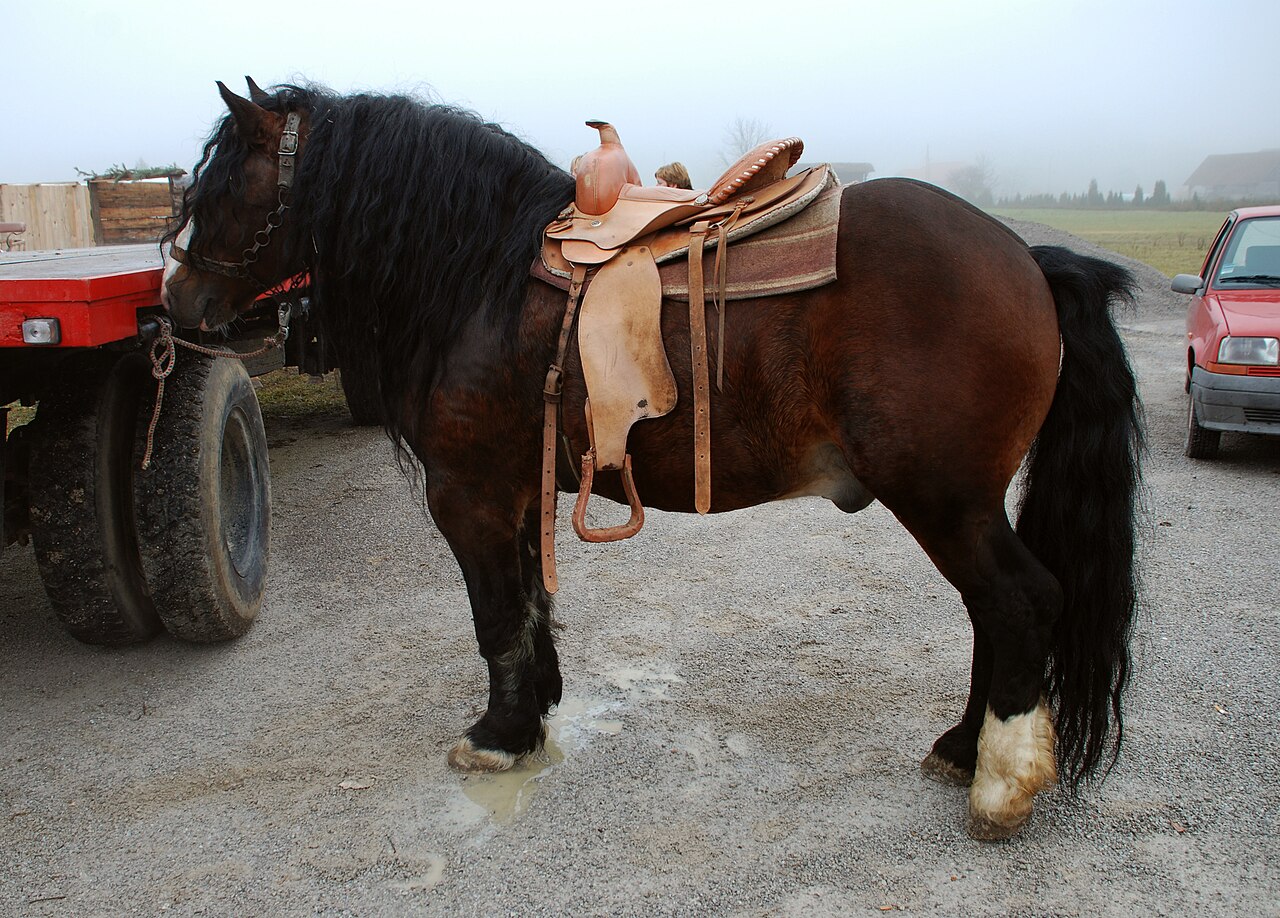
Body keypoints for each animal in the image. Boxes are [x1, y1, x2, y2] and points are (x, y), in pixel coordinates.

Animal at [160, 79, 1143, 841]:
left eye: (225, 187)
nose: (178, 302)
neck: (482, 277)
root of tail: (1028, 257)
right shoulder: (518, 489)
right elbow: (529, 606)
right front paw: (537, 710)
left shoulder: (468, 494)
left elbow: (494, 616)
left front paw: (499, 735)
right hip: (961, 504)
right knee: (993, 611)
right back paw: (960, 748)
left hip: (943, 499)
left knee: (1020, 603)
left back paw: (998, 783)